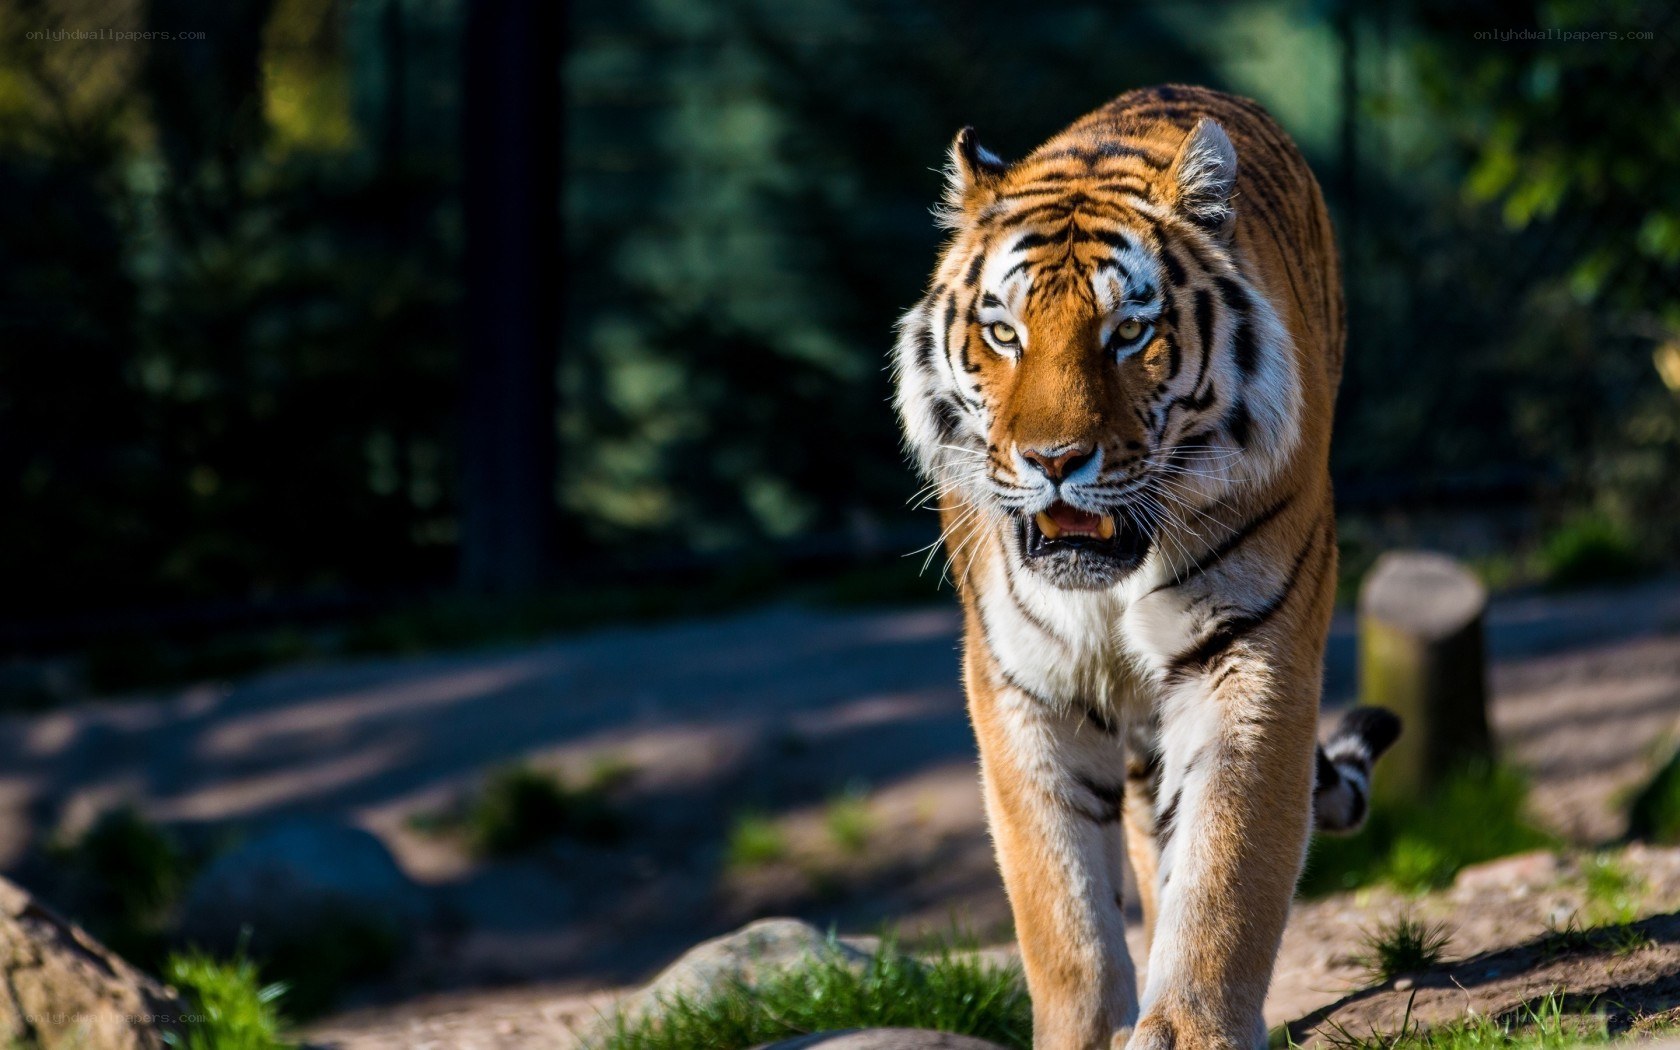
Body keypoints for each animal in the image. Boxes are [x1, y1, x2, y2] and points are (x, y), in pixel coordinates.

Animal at [891, 85, 1402, 1050]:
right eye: (1004, 333)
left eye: (1129, 332)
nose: (1054, 460)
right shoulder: (1022, 681)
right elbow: (1057, 900)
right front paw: (1089, 1034)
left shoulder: (1250, 651)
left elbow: (1226, 861)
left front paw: (1191, 1029)